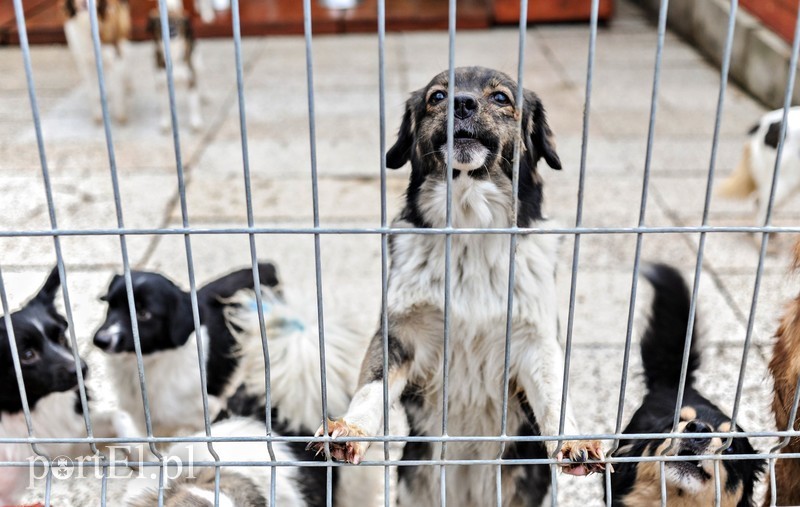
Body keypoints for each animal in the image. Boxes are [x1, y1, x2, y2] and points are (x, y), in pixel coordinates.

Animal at [0, 268, 136, 506]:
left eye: (61, 337)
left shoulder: (65, 443)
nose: (82, 368)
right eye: (27, 355)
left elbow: (117, 415)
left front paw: (141, 452)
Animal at [310, 67, 604, 507]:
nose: (462, 103)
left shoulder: (534, 339)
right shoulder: (401, 333)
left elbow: (554, 394)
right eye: (437, 96)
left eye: (500, 98)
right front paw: (350, 429)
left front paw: (574, 441)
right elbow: (372, 386)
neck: (468, 229)